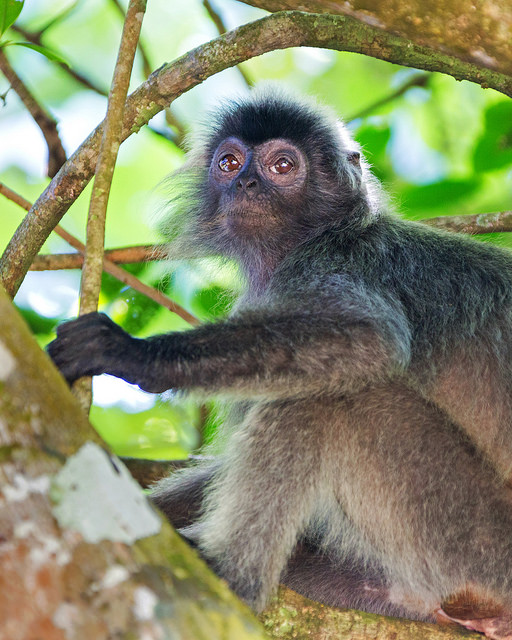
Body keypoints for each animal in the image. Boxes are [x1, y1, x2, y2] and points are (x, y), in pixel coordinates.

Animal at [48, 89, 512, 638]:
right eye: (229, 163)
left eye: (282, 166)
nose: (245, 182)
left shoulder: (333, 264)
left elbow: (368, 338)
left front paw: (131, 353)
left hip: (473, 542)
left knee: (331, 396)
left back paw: (231, 576)